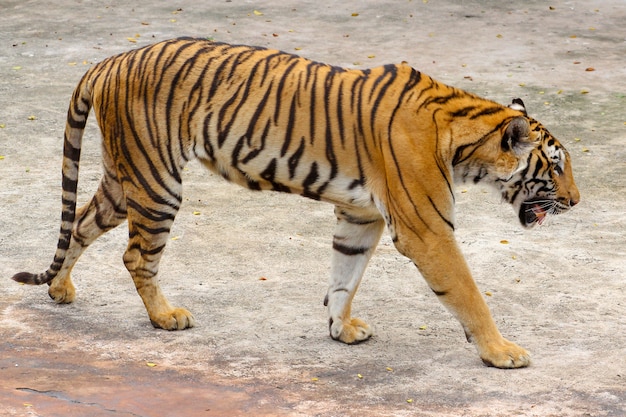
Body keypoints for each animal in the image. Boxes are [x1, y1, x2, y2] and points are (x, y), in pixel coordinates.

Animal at [11, 35, 576, 368]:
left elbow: (344, 276)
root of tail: (109, 59)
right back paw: (165, 317)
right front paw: (501, 351)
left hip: (123, 178)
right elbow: (468, 294)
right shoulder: (427, 230)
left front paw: (341, 329)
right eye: (555, 166)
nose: (575, 201)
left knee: (80, 224)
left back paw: (61, 290)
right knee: (135, 255)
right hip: (156, 182)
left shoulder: (361, 215)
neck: (464, 142)